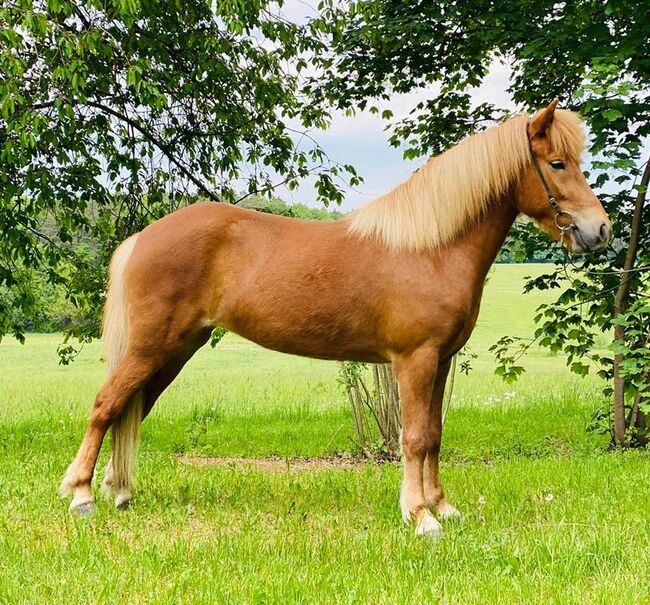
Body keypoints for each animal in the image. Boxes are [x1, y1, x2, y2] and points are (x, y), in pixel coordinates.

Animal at [61, 100, 611, 537]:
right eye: (558, 163)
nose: (600, 230)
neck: (430, 248)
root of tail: (144, 236)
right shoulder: (415, 360)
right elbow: (414, 438)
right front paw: (420, 518)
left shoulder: (441, 362)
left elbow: (433, 435)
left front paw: (443, 508)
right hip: (151, 346)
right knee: (106, 404)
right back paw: (82, 495)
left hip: (175, 351)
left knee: (131, 409)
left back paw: (119, 491)